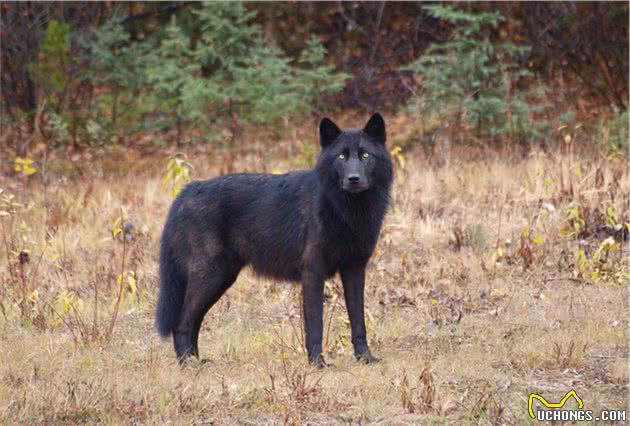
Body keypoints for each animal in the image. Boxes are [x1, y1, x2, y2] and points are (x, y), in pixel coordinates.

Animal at [156, 113, 392, 366]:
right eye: (341, 156)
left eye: (365, 155)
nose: (353, 178)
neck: (344, 211)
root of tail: (187, 191)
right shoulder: (313, 273)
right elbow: (315, 325)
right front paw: (317, 364)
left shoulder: (354, 270)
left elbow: (358, 321)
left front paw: (365, 357)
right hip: (210, 277)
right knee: (182, 322)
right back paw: (188, 364)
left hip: (221, 279)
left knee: (194, 321)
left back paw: (197, 360)